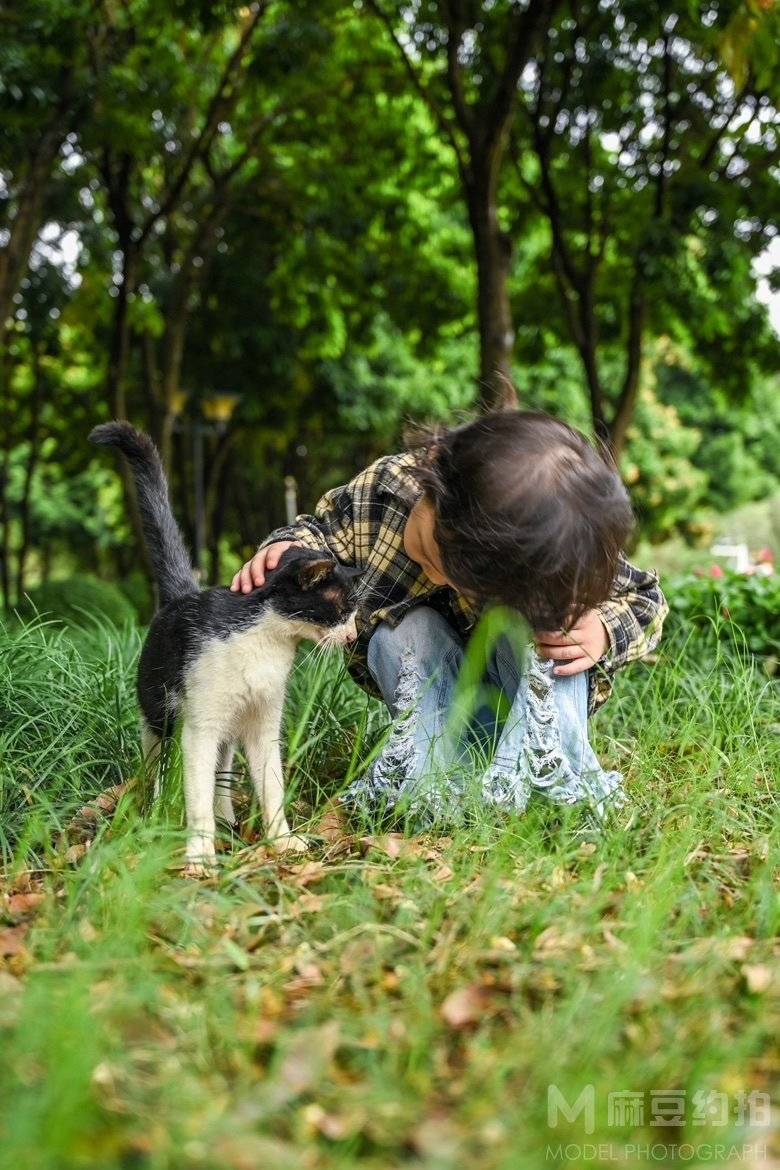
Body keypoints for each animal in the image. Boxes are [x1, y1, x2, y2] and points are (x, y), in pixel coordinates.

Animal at [90, 421, 357, 870]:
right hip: (158, 713)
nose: (354, 635)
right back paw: (157, 815)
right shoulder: (200, 726)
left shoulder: (264, 722)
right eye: (344, 609)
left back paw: (229, 821)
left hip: (228, 729)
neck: (268, 644)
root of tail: (182, 593)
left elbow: (271, 786)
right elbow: (194, 792)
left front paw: (282, 841)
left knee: (223, 772)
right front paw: (200, 856)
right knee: (158, 767)